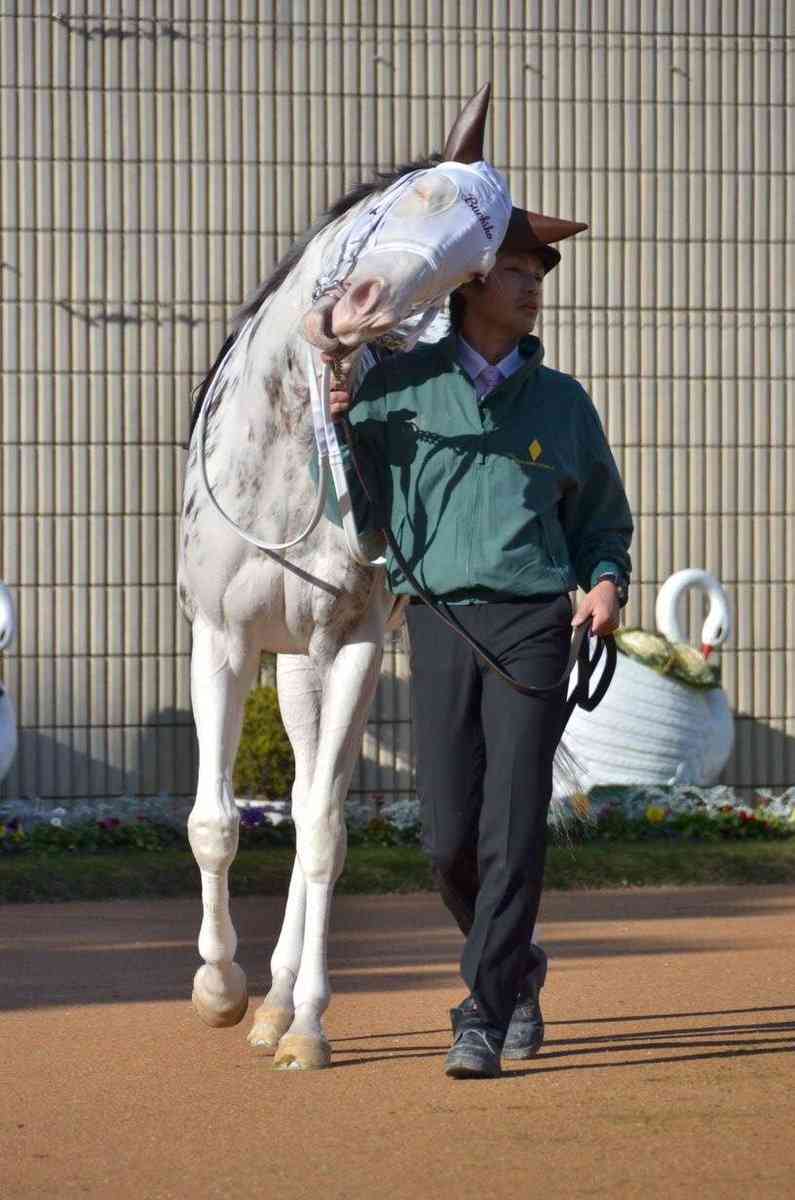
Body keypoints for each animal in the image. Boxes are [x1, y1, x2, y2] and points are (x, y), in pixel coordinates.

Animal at [179, 84, 518, 1071]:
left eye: (477, 262)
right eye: (420, 196)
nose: (362, 311)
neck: (287, 461)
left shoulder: (356, 642)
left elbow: (327, 833)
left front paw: (306, 1025)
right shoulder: (220, 638)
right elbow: (215, 822)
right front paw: (217, 990)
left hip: (327, 658)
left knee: (310, 806)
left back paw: (281, 1005)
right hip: (290, 659)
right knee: (290, 793)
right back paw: (257, 1002)